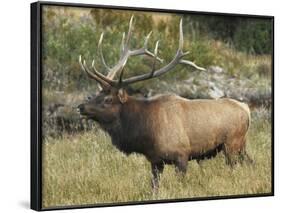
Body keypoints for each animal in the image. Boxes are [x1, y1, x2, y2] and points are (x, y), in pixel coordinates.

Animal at [76, 16, 252, 190]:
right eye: (96, 94)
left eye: (108, 99)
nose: (80, 107)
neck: (146, 133)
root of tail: (246, 109)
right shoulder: (155, 160)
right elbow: (154, 187)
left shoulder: (182, 155)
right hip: (241, 145)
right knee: (250, 162)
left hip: (232, 143)